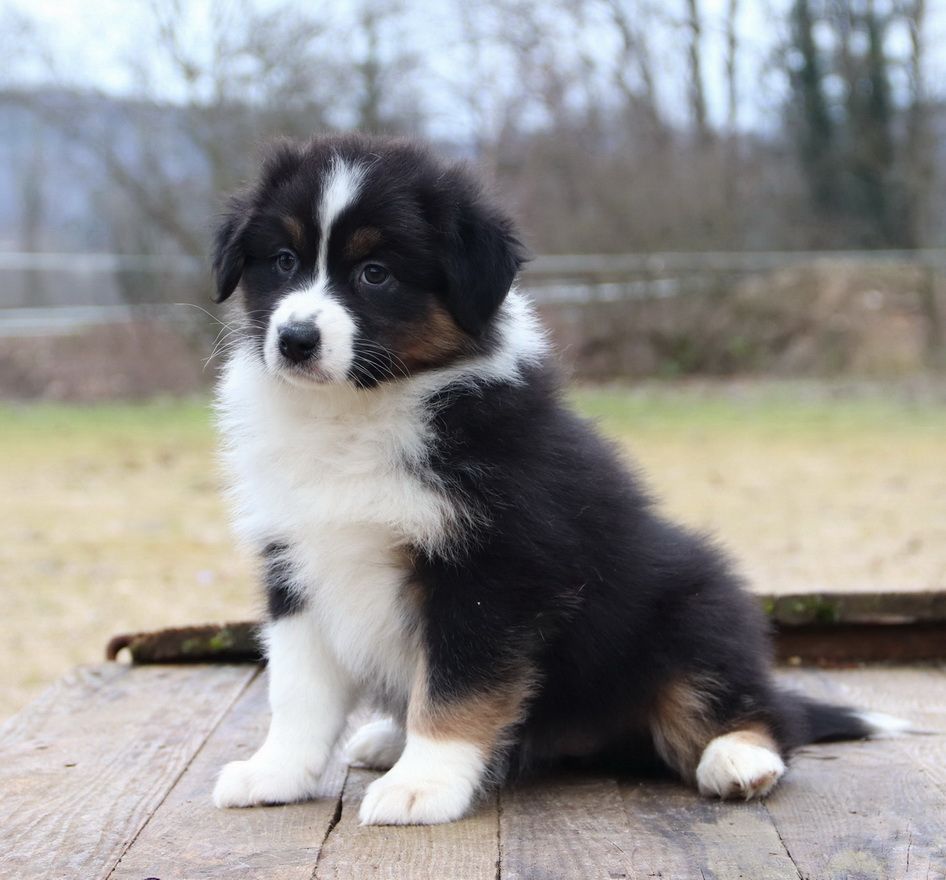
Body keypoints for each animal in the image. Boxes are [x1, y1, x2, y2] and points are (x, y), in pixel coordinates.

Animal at [209, 134, 902, 825]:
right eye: (283, 260)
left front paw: (423, 785)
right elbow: (297, 691)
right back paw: (386, 738)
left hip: (696, 608)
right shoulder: (296, 564)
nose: (295, 339)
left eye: (374, 273)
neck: (355, 413)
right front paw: (276, 772)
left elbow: (456, 687)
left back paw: (739, 759)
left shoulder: (491, 572)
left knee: (759, 709)